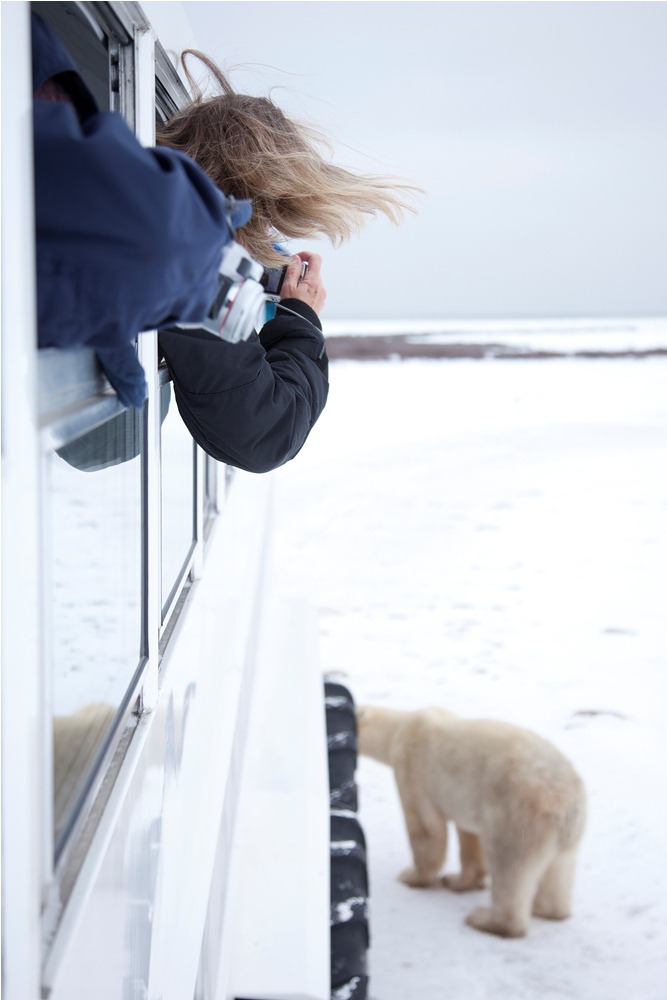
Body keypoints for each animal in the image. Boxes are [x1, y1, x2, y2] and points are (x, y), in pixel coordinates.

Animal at [358, 704, 588, 936]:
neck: (399, 728)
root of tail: (565, 800)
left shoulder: (412, 768)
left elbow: (426, 828)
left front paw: (411, 876)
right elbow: (468, 833)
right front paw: (457, 880)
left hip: (518, 816)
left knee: (510, 868)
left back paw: (485, 919)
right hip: (568, 832)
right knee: (559, 868)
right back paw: (545, 909)